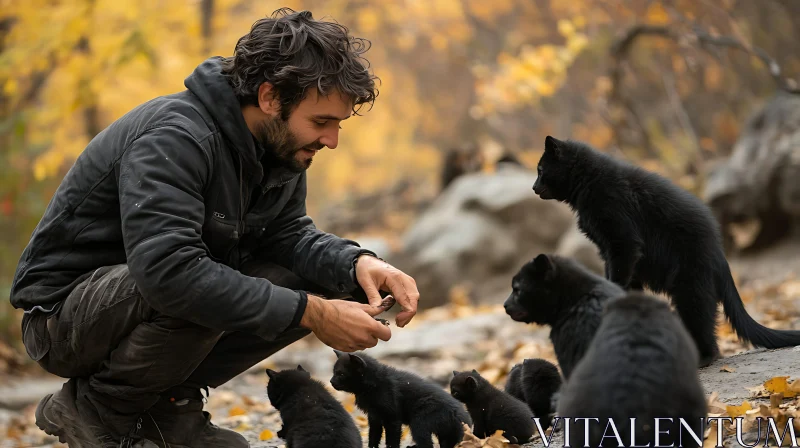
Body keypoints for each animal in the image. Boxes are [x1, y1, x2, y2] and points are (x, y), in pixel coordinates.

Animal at [330, 350, 472, 448]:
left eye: (340, 373)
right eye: (334, 372)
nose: (331, 381)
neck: (375, 383)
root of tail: (460, 415)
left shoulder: (392, 418)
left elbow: (392, 440)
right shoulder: (374, 417)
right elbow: (374, 436)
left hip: (419, 421)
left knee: (427, 444)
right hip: (446, 435)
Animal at [536, 135, 800, 366]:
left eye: (540, 170)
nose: (534, 187)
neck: (589, 181)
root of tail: (719, 253)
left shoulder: (623, 242)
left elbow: (618, 276)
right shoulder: (615, 253)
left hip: (690, 290)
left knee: (705, 331)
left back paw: (700, 360)